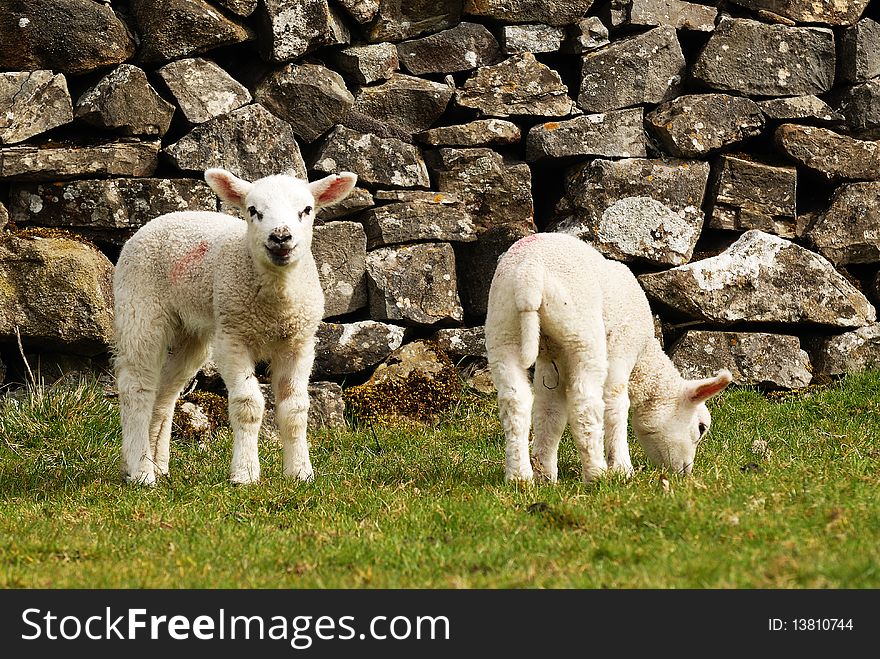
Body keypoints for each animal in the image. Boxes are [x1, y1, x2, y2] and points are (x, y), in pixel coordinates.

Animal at [113, 166, 358, 484]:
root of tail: (162, 218)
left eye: (306, 210)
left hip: (189, 333)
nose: (281, 236)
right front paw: (245, 473)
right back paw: (141, 471)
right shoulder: (233, 337)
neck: (276, 303)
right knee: (137, 387)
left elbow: (295, 408)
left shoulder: (299, 341)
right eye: (253, 210)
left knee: (164, 394)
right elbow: (248, 405)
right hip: (140, 310)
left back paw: (158, 465)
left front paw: (300, 473)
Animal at [484, 233, 732, 484]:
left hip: (503, 326)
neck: (644, 358)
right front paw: (622, 468)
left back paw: (520, 477)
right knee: (585, 403)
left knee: (515, 400)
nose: (685, 473)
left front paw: (545, 474)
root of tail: (529, 274)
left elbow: (550, 412)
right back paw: (596, 474)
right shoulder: (621, 349)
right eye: (701, 428)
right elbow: (615, 405)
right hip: (582, 332)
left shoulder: (552, 363)